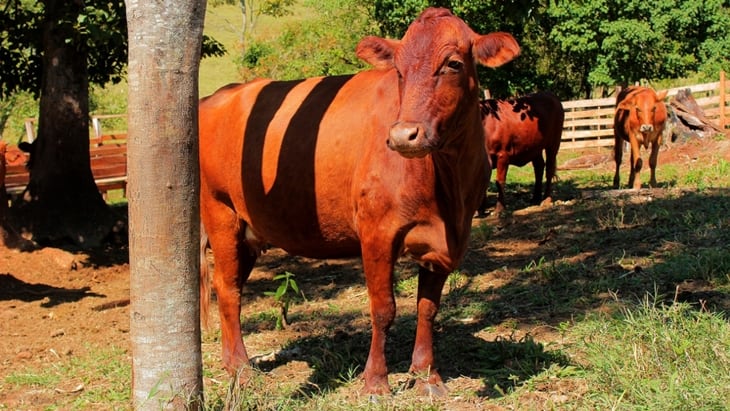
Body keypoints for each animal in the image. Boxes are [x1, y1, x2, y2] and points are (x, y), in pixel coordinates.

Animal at [199, 8, 516, 398]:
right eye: (398, 71)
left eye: (453, 64)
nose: (403, 135)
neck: (448, 186)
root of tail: (219, 95)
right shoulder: (377, 233)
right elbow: (383, 309)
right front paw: (376, 381)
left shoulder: (448, 239)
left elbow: (428, 308)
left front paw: (427, 377)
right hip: (220, 211)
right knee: (227, 288)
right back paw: (241, 369)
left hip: (248, 230)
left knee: (232, 286)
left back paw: (233, 363)